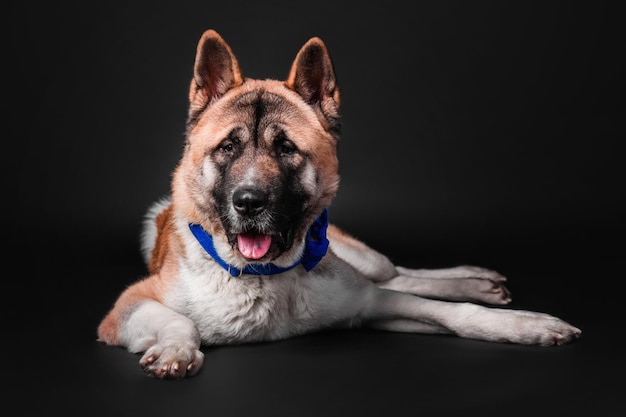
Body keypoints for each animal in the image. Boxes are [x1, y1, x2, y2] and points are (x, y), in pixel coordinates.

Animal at [97, 28, 580, 376]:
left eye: (286, 148)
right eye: (227, 148)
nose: (248, 202)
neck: (265, 276)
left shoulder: (370, 303)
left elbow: (451, 311)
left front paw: (524, 324)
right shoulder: (126, 308)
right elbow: (180, 321)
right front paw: (177, 350)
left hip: (358, 258)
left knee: (394, 271)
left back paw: (478, 281)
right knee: (396, 275)